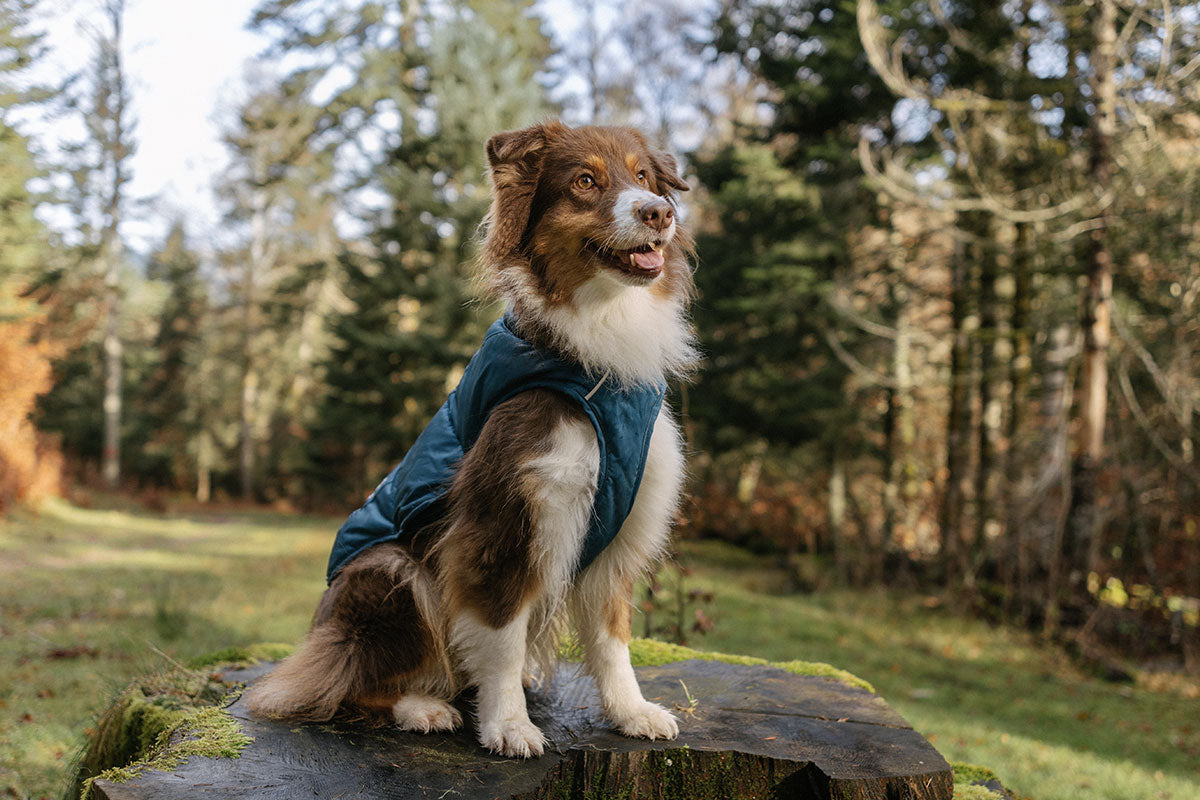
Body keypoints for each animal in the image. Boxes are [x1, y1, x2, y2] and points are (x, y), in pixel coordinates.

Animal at [243, 122, 700, 762]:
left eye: (642, 177)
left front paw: (630, 712)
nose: (660, 212)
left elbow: (613, 640)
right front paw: (508, 725)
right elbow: (502, 634)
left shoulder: (619, 532)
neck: (597, 344)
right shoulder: (503, 520)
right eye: (585, 181)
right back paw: (423, 707)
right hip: (389, 571)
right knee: (339, 681)